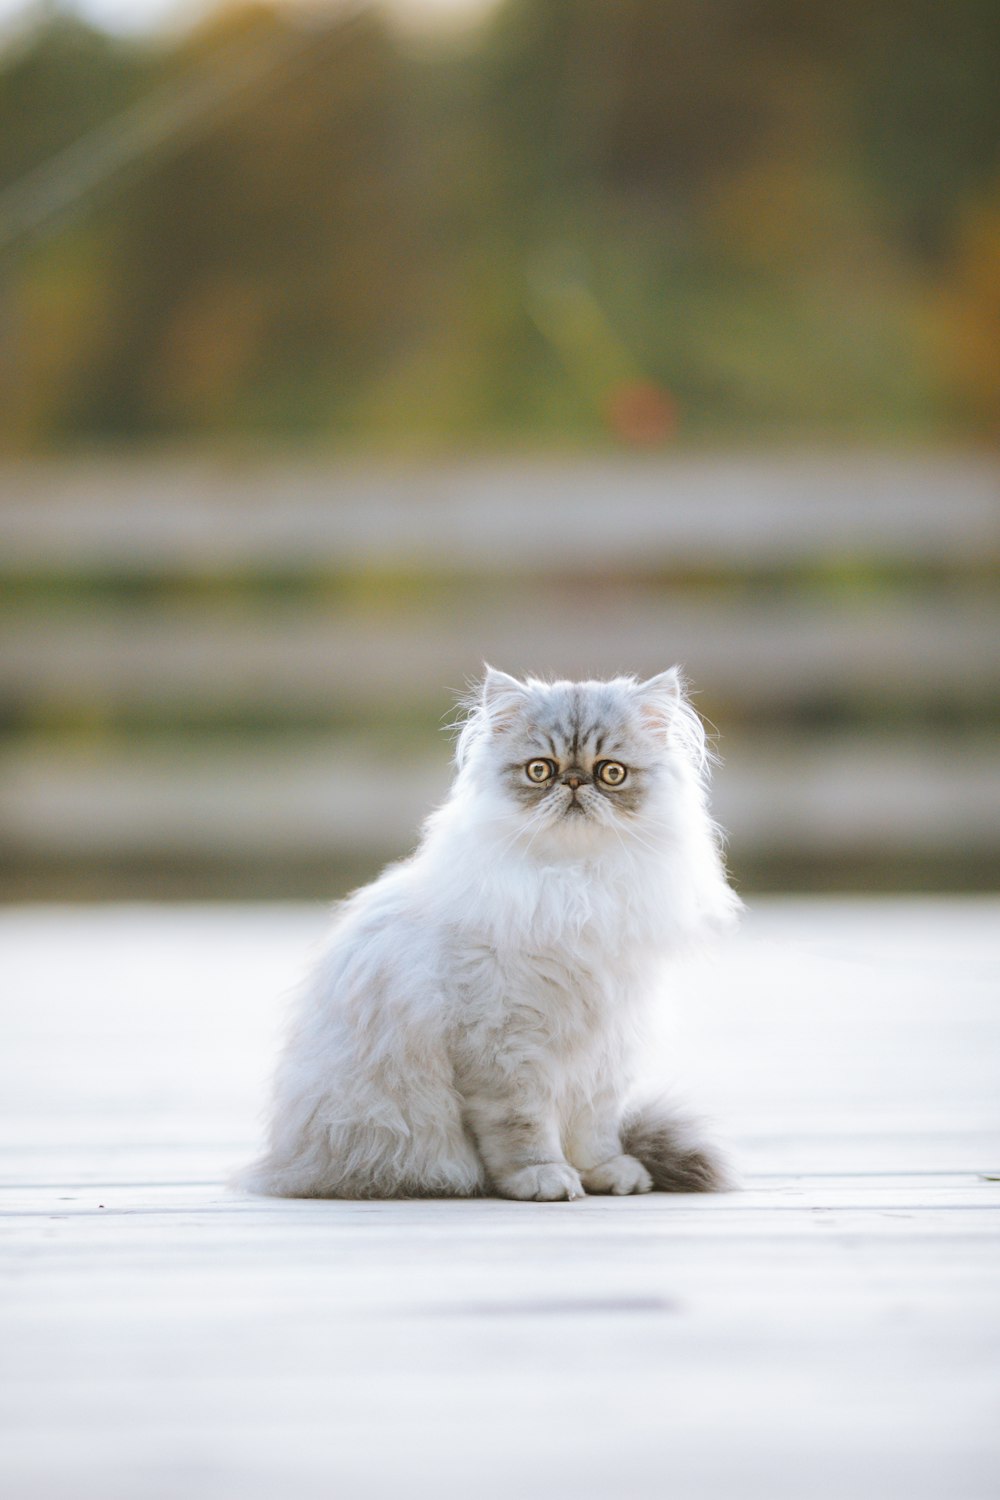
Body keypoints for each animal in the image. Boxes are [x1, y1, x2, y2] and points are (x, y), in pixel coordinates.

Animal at [242, 675, 743, 1200]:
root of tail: (282, 1161)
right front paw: (544, 1178)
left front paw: (607, 1174)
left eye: (611, 773)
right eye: (540, 770)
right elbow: (523, 1129)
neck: (576, 886)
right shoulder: (504, 1045)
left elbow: (595, 1132)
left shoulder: (605, 1049)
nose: (573, 782)